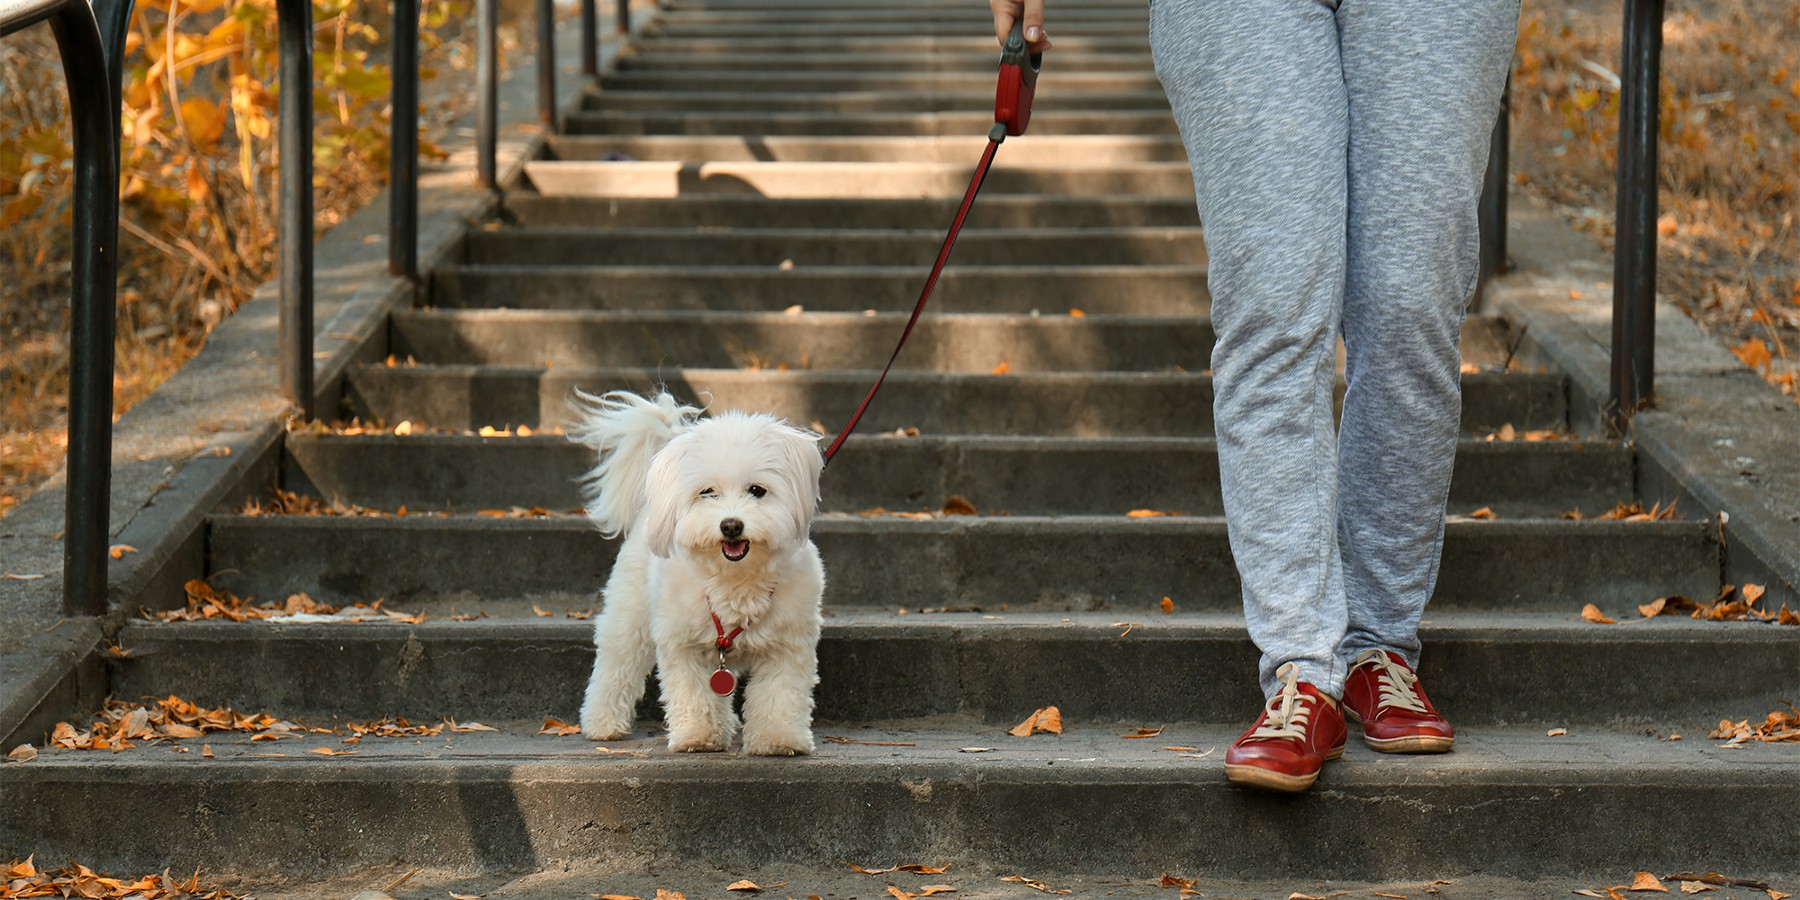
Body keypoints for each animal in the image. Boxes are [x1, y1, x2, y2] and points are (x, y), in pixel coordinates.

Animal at [568, 390, 828, 756]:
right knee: (616, 665)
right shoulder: (683, 642)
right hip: (629, 614)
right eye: (708, 492)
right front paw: (698, 735)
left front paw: (779, 739)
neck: (735, 580)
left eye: (757, 490)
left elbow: (780, 695)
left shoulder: (789, 645)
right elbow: (693, 693)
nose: (731, 525)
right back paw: (602, 724)